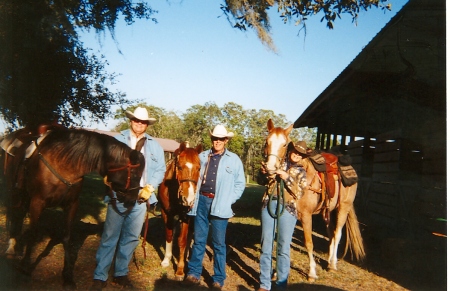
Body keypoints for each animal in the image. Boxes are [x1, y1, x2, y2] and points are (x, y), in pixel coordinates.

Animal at [0, 128, 144, 290]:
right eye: (134, 174)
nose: (133, 200)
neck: (65, 164)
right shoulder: (37, 203)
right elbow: (32, 234)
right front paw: (25, 270)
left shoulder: (72, 205)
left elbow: (67, 238)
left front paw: (68, 277)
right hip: (15, 193)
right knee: (15, 215)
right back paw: (11, 249)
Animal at [157, 143, 201, 282]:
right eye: (180, 167)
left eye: (199, 168)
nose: (189, 199)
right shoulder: (166, 213)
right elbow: (169, 235)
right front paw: (166, 259)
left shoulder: (186, 216)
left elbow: (182, 240)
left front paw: (180, 270)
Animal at [262, 118, 364, 282]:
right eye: (267, 142)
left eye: (284, 144)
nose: (270, 168)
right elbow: (283, 242)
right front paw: (277, 273)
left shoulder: (306, 216)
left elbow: (309, 243)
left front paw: (311, 272)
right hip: (327, 211)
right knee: (330, 234)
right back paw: (329, 261)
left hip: (343, 208)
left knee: (338, 234)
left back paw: (333, 264)